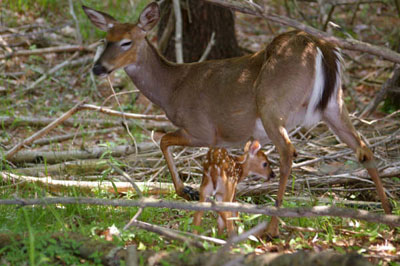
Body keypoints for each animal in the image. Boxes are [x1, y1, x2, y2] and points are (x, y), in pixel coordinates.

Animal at [83, 2, 392, 237]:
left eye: (127, 42)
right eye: (105, 40)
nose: (98, 68)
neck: (172, 89)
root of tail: (319, 46)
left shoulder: (202, 129)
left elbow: (163, 140)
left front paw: (187, 191)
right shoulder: (220, 138)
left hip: (271, 105)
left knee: (288, 152)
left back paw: (273, 227)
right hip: (334, 105)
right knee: (364, 148)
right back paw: (388, 214)